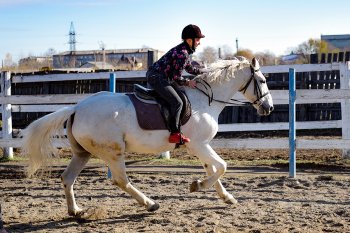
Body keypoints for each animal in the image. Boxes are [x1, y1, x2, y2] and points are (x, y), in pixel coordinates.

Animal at [20, 57, 274, 217]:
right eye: (262, 81)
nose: (268, 108)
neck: (205, 100)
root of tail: (77, 107)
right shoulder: (199, 145)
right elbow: (221, 166)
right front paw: (198, 186)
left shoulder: (201, 146)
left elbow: (214, 169)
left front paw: (226, 197)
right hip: (113, 152)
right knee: (120, 181)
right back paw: (150, 204)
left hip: (83, 153)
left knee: (67, 178)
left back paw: (76, 211)